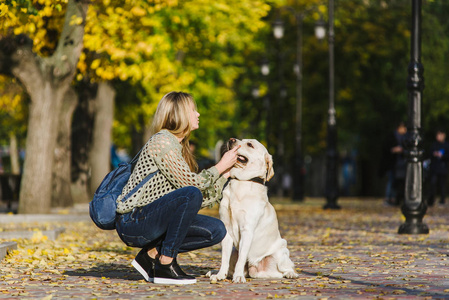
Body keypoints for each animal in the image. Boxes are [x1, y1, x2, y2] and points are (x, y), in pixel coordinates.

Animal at [210, 138, 298, 284]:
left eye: (250, 144)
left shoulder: (247, 229)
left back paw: (291, 274)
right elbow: (224, 258)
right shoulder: (227, 230)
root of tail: (253, 267)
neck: (241, 182)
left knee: (286, 268)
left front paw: (238, 276)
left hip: (282, 251)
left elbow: (241, 259)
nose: (231, 139)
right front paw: (219, 274)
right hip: (235, 251)